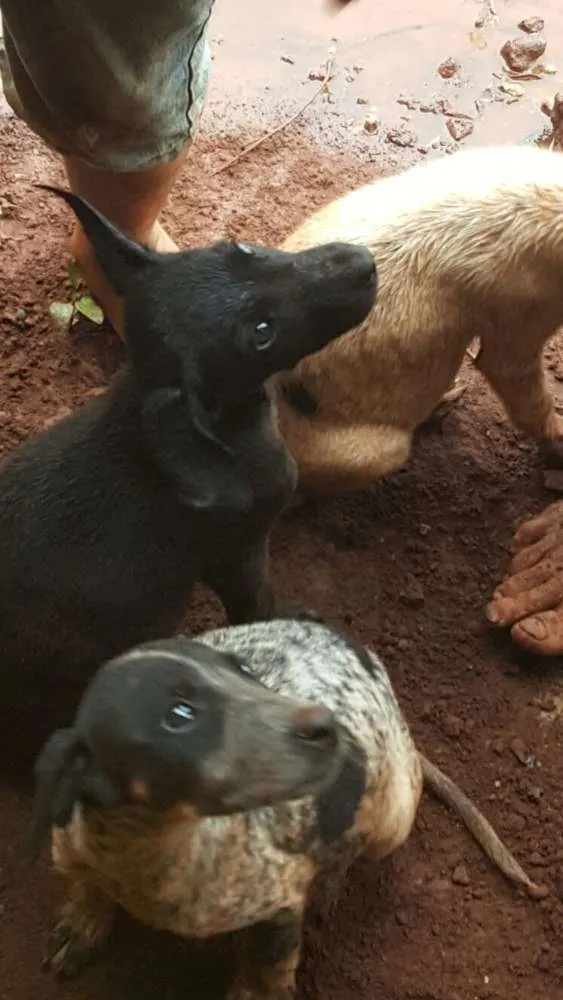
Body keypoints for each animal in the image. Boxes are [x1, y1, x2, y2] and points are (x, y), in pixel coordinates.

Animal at [26, 620, 548, 996]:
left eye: (244, 670)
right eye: (179, 715)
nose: (328, 725)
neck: (146, 847)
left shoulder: (277, 902)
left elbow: (266, 969)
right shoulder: (73, 849)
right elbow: (85, 885)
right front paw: (82, 924)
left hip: (393, 818)